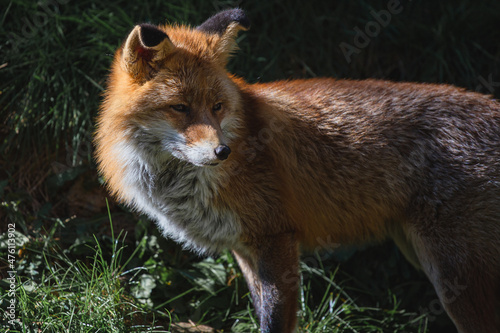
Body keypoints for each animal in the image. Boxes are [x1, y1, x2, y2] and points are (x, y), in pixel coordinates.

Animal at [94, 7, 500, 332]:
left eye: (217, 107)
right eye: (179, 107)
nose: (223, 151)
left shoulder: (277, 239)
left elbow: (275, 322)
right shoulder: (244, 247)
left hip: (454, 277)